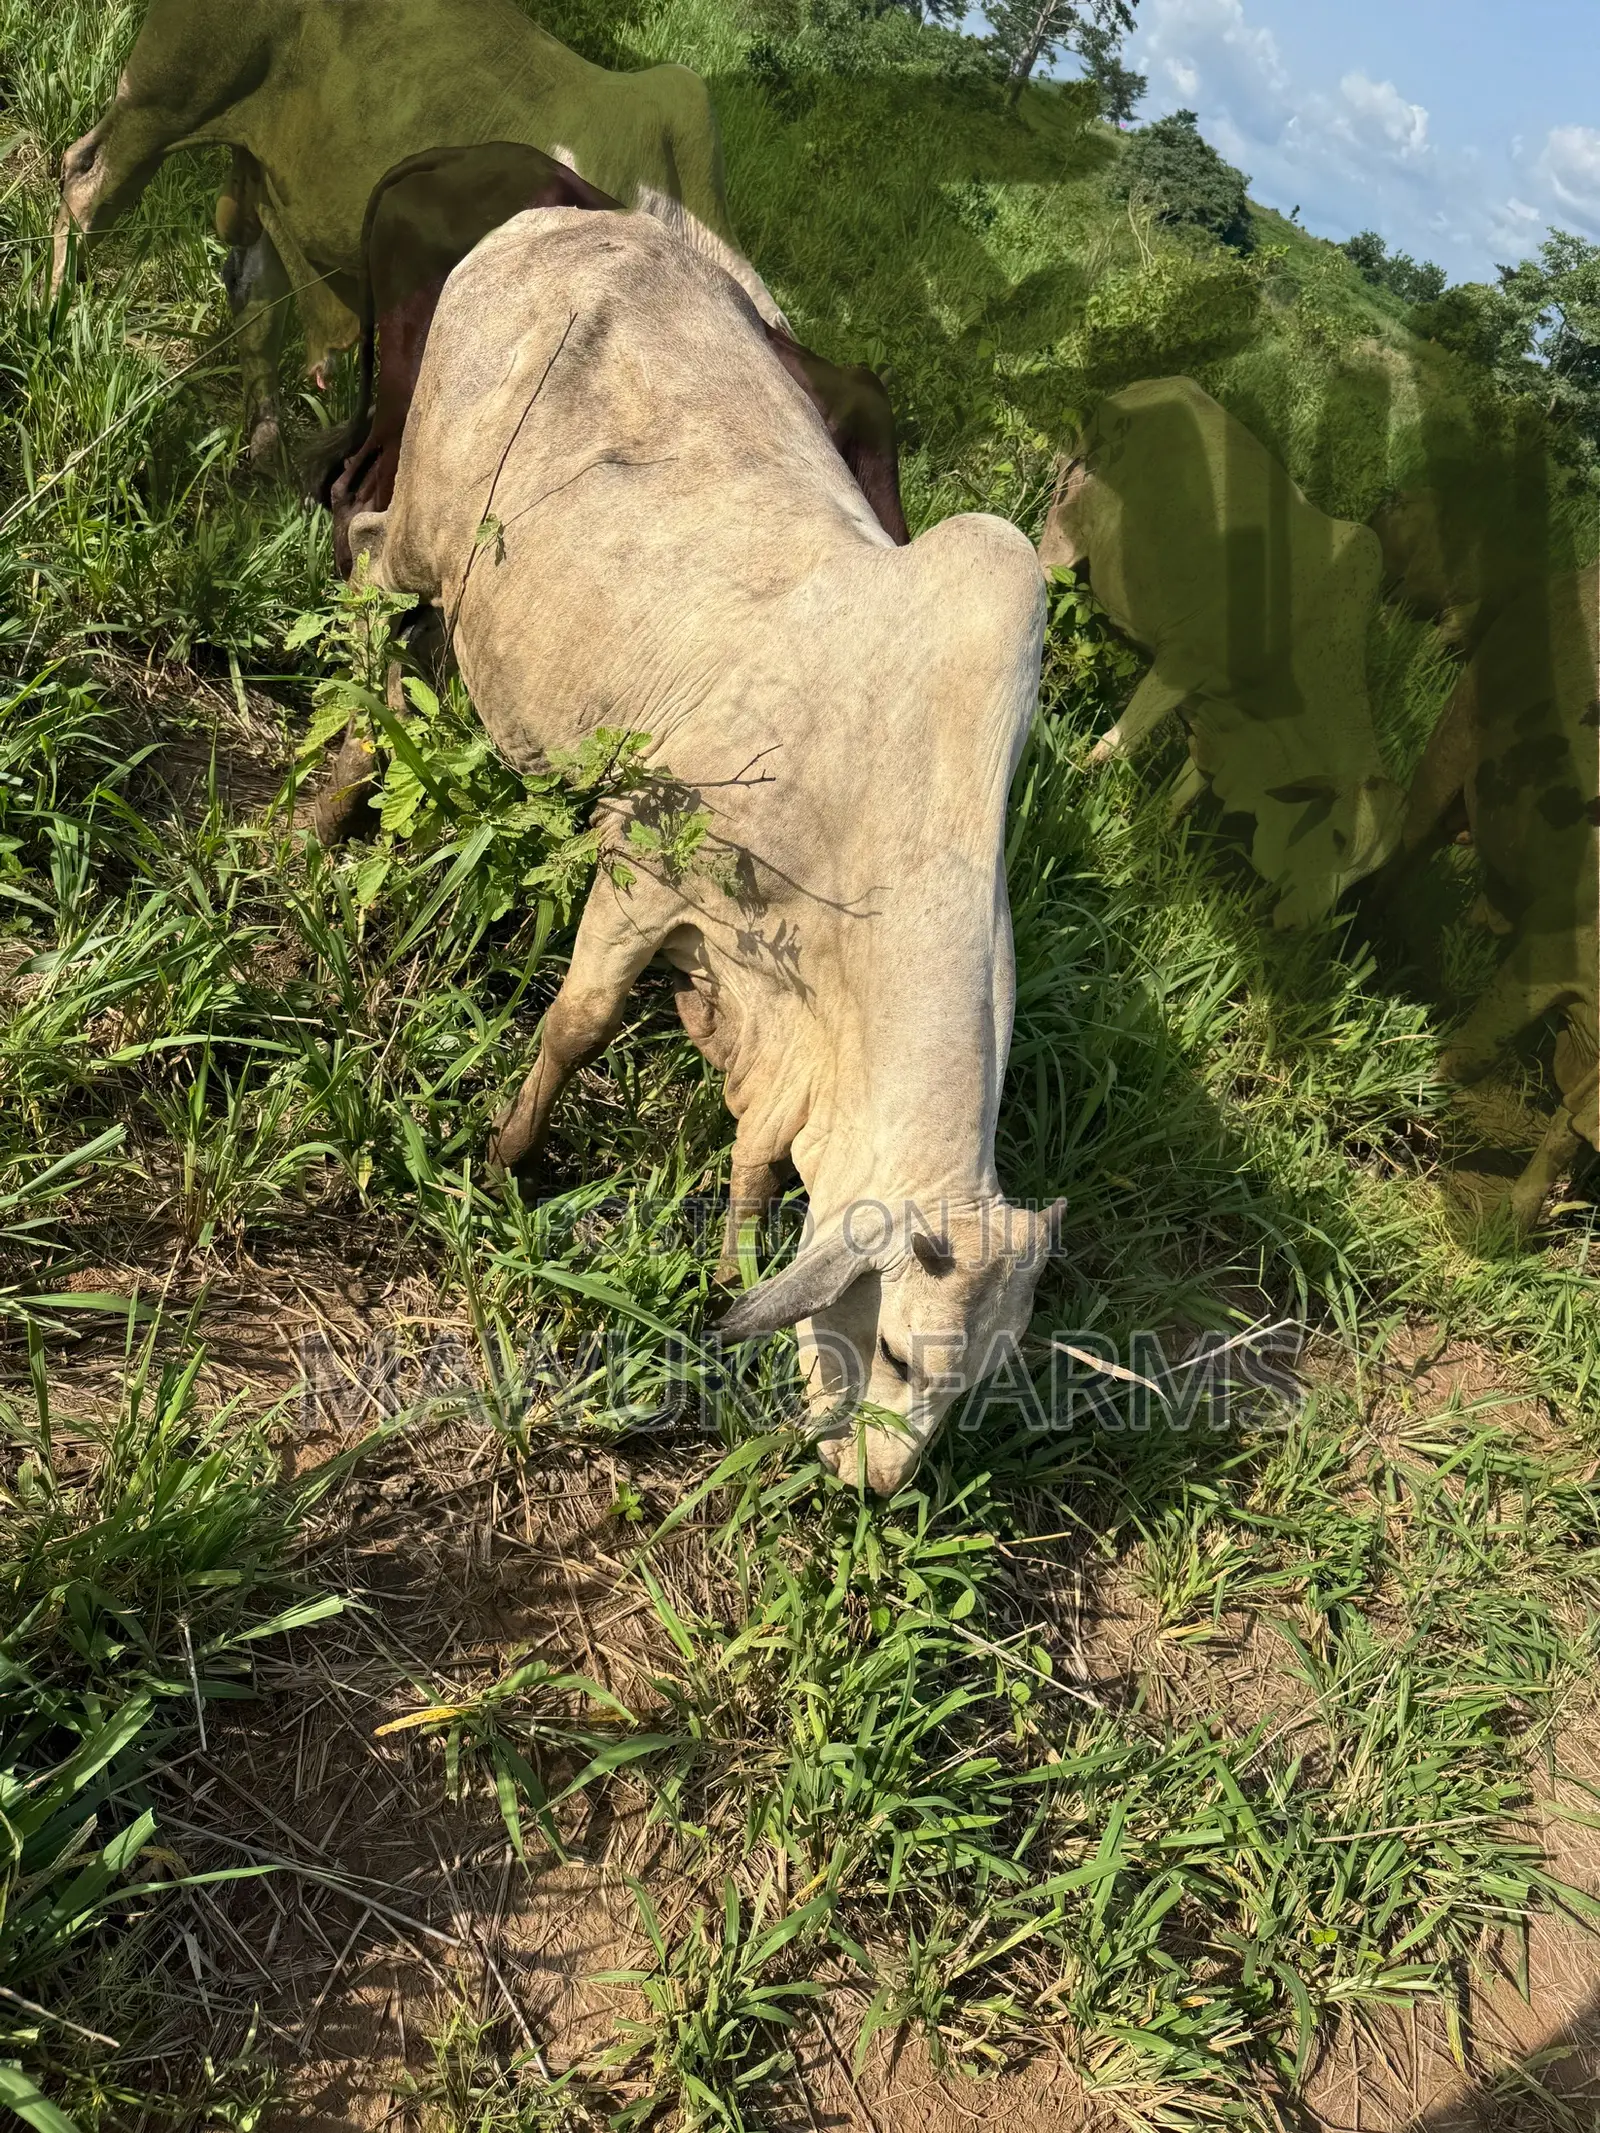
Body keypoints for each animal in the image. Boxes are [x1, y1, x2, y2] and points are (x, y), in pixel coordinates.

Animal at [52, 0, 775, 461]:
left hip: (259, 163)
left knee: (254, 297)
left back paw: (265, 450)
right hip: (169, 91)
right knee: (85, 181)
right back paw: (55, 316)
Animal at [337, 202, 1058, 1493]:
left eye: (974, 1387)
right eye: (905, 1355)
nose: (871, 1489)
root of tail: (570, 220)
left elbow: (760, 1154)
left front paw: (729, 1257)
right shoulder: (645, 863)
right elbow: (577, 1024)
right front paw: (508, 1154)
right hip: (423, 528)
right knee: (371, 572)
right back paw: (322, 802)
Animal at [1038, 377, 1405, 929]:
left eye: (1361, 878)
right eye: (1339, 836)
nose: (1300, 924)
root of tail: (1149, 389)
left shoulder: (1219, 723)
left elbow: (1181, 797)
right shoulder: (1182, 663)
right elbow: (1117, 746)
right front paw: (1073, 781)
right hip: (1068, 526)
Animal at [1368, 568, 1598, 1233]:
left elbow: (1568, 1130)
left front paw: (1513, 1228)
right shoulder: (1552, 947)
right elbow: (1477, 1052)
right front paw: (1413, 1103)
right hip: (1460, 726)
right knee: (1411, 837)